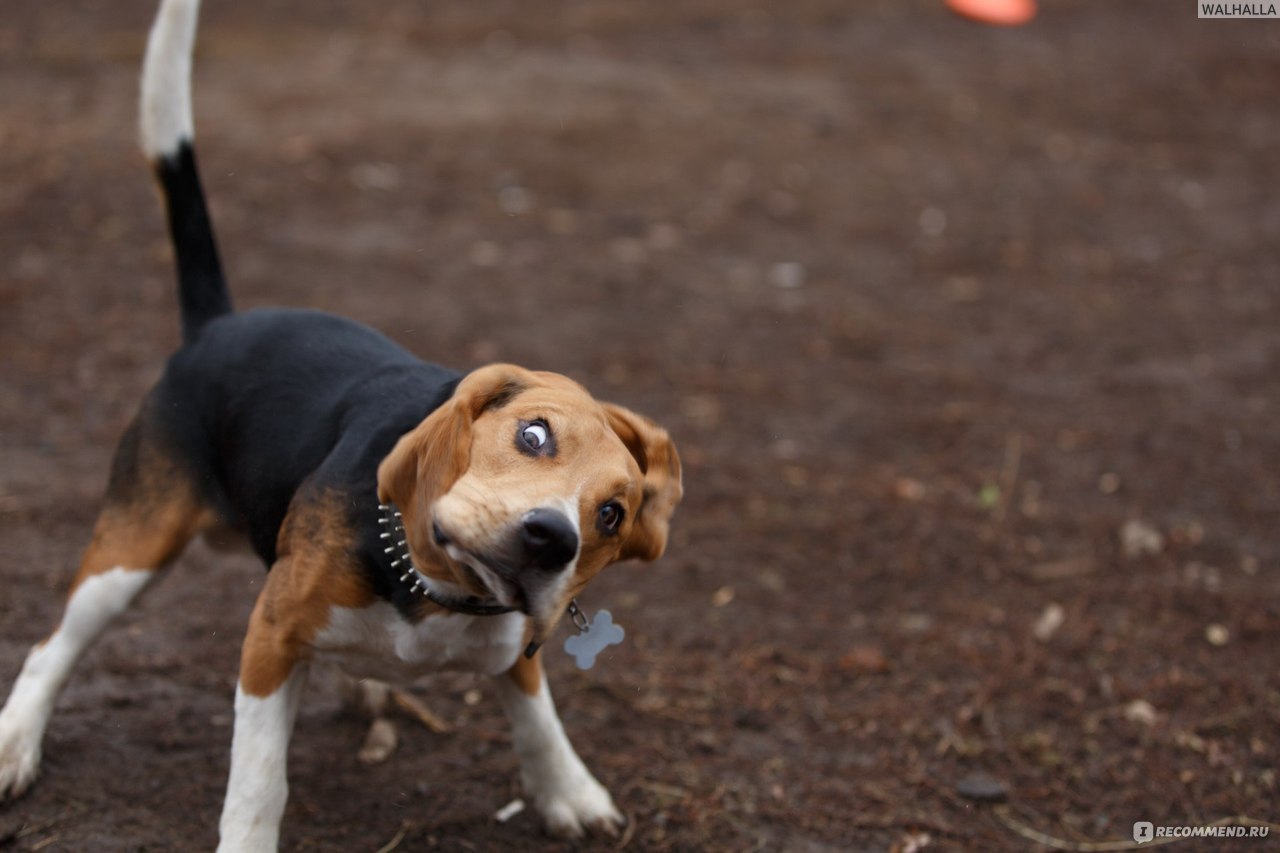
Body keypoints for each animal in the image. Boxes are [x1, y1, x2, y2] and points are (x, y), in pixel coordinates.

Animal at [0, 0, 680, 845]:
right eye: (533, 434)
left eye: (613, 514)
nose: (552, 537)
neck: (435, 587)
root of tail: (217, 325)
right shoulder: (267, 641)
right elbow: (260, 779)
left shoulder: (515, 645)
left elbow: (538, 716)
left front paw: (569, 791)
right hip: (132, 548)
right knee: (51, 647)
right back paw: (15, 741)